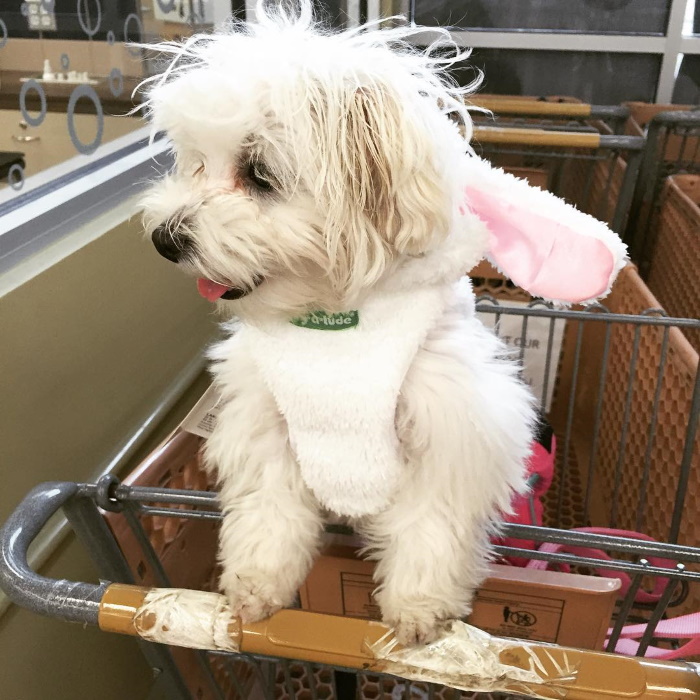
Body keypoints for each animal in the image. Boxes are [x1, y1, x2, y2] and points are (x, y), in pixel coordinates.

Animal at [139, 0, 628, 644]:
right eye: (196, 164)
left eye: (260, 173)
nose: (164, 238)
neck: (332, 318)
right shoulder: (265, 418)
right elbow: (269, 506)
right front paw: (257, 582)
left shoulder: (454, 424)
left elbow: (432, 522)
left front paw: (418, 607)